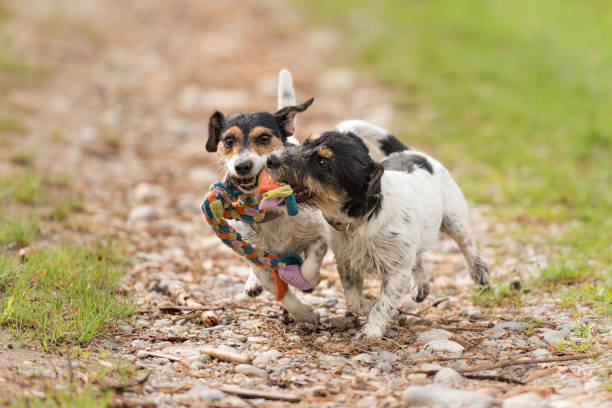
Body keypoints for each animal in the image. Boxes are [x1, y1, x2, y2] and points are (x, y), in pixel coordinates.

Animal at [266, 126, 490, 338]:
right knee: (417, 259)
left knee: (466, 243)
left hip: (454, 218)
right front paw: (366, 307)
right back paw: (421, 287)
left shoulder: (396, 273)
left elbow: (383, 304)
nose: (270, 159)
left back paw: (480, 273)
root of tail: (409, 152)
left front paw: (371, 331)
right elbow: (353, 299)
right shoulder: (347, 263)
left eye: (322, 162)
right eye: (306, 142)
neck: (361, 220)